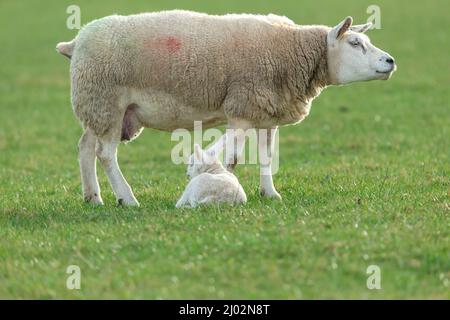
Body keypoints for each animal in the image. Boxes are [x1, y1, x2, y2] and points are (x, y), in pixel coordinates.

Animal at [57, 10, 398, 206]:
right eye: (355, 43)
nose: (390, 61)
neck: (292, 53)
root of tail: (74, 43)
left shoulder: (265, 114)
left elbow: (265, 157)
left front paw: (270, 194)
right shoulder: (241, 109)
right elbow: (226, 156)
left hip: (98, 108)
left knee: (85, 148)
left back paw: (93, 197)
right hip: (106, 102)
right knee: (105, 154)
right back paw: (127, 199)